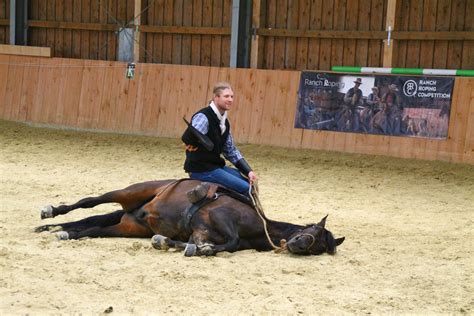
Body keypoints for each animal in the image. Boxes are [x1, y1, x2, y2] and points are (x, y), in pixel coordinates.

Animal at [34, 178, 344, 256]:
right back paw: (51, 212)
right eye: (314, 231)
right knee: (90, 202)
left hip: (128, 226)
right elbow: (231, 240)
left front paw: (171, 243)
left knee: (91, 229)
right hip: (131, 192)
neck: (258, 227)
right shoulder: (219, 216)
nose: (298, 245)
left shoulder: (201, 231)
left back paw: (62, 231)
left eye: (317, 248)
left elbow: (205, 244)